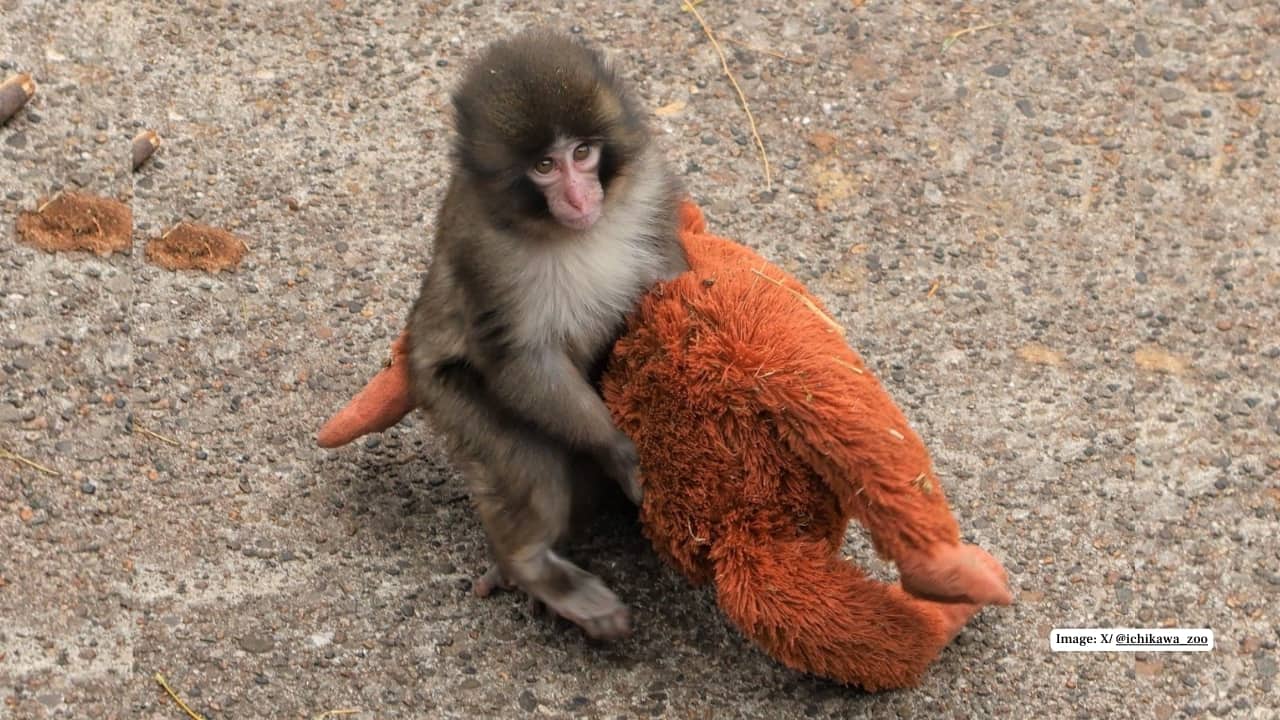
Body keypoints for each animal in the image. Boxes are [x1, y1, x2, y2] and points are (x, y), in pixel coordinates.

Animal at [404, 29, 688, 640]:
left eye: (582, 153)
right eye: (543, 165)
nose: (580, 199)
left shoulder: (650, 189)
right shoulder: (484, 251)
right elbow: (519, 359)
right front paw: (618, 449)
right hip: (446, 395)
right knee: (531, 466)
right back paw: (531, 566)